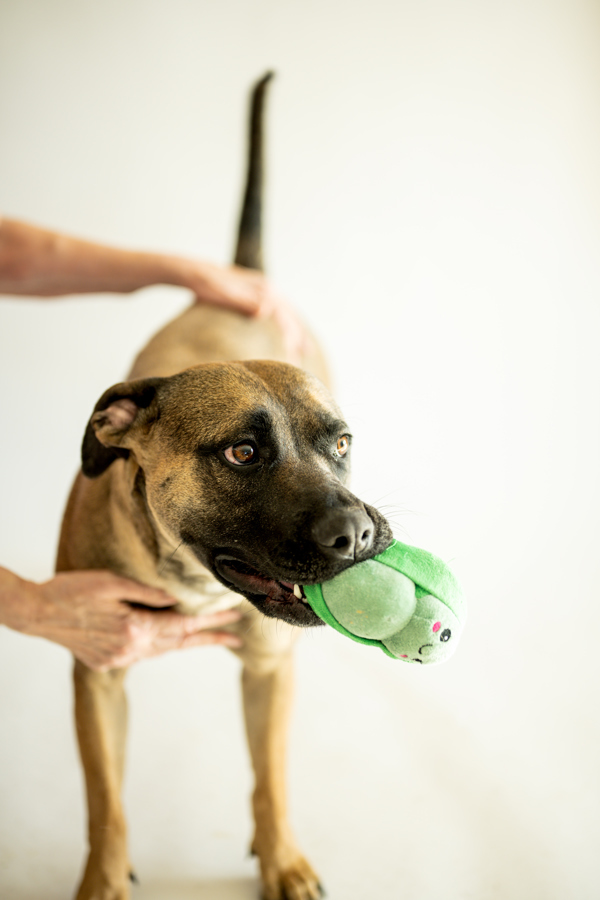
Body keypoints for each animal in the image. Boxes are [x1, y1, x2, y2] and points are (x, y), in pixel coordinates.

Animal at [57, 75, 394, 900]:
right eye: (242, 453)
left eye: (342, 445)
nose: (357, 535)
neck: (189, 572)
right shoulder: (96, 675)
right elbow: (105, 802)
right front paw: (103, 880)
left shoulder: (271, 672)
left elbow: (270, 779)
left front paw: (283, 860)